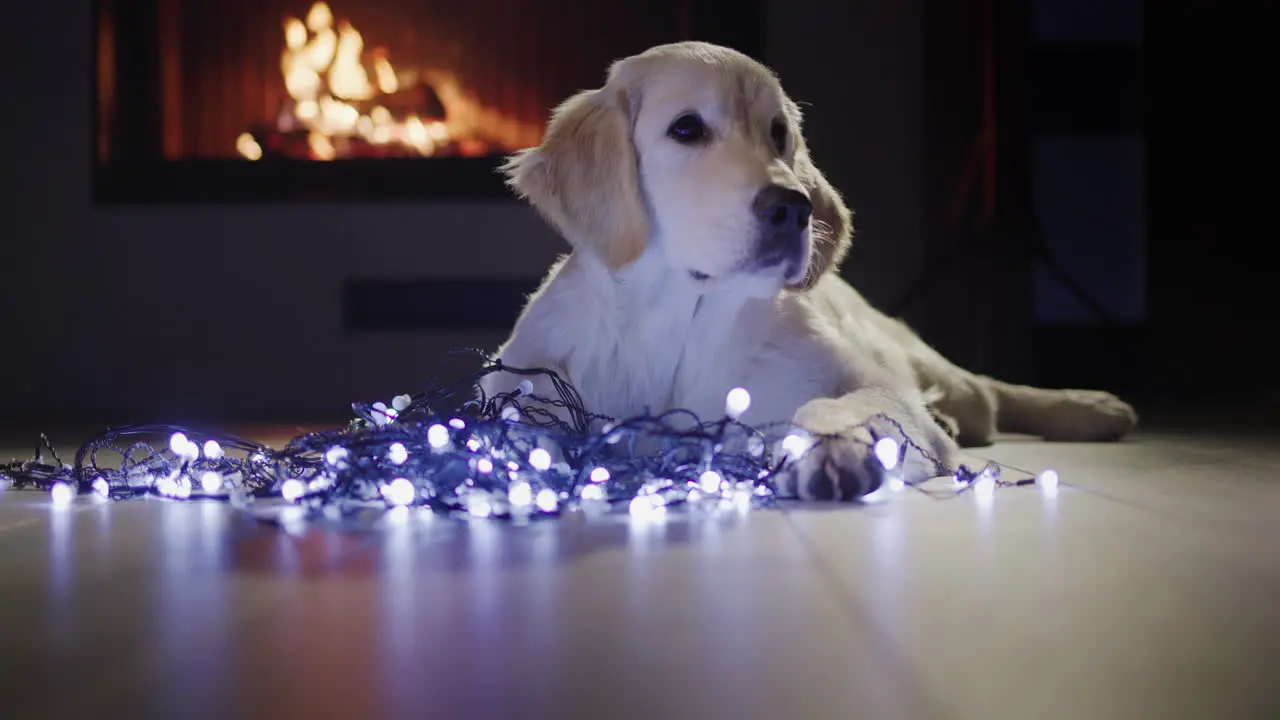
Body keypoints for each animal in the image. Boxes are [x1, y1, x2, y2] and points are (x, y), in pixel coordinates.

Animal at [476, 40, 1136, 499]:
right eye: (686, 129)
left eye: (779, 134)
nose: (795, 208)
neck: (678, 325)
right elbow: (515, 426)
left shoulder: (872, 385)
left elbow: (834, 408)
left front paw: (833, 449)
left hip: (929, 367)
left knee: (989, 393)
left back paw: (1093, 408)